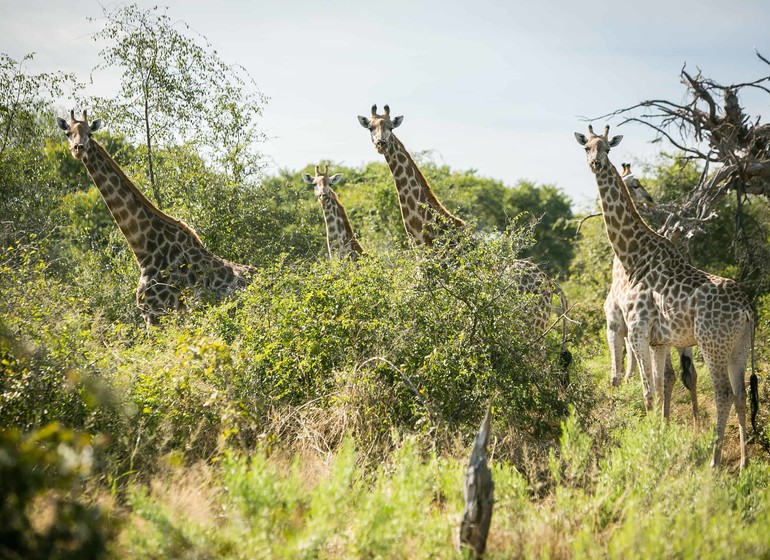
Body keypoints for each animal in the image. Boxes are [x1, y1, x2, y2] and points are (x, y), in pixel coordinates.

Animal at [356, 103, 568, 364]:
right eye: (371, 127)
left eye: (390, 126)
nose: (381, 143)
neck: (426, 240)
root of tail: (549, 282)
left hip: (533, 323)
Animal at [572, 123, 752, 468]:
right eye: (586, 147)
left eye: (607, 148)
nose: (596, 164)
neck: (632, 257)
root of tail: (746, 311)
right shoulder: (658, 341)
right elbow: (659, 385)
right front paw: (660, 435)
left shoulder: (636, 331)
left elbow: (647, 392)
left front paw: (648, 445)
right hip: (740, 348)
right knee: (740, 393)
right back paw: (744, 462)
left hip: (712, 344)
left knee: (722, 393)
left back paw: (714, 460)